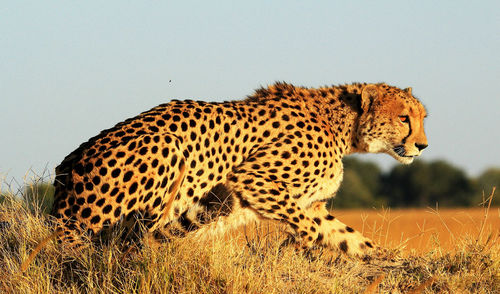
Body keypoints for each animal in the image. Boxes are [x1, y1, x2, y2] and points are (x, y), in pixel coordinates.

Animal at [50, 81, 428, 256]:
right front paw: (285, 252)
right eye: (403, 118)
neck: (344, 126)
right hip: (168, 148)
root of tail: (67, 169)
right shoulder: (253, 178)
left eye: (423, 117)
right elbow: (308, 230)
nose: (423, 146)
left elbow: (350, 238)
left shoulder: (311, 205)